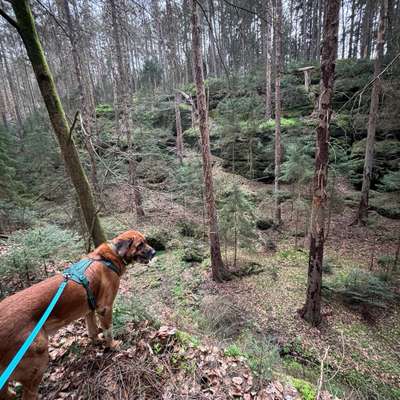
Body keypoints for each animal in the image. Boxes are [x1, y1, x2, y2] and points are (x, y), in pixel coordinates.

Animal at [0, 231, 155, 400]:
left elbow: (92, 330)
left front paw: (96, 342)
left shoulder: (89, 310)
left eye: (146, 241)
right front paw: (112, 346)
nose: (154, 252)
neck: (110, 257)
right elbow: (108, 331)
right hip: (37, 361)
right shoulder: (105, 308)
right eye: (140, 245)